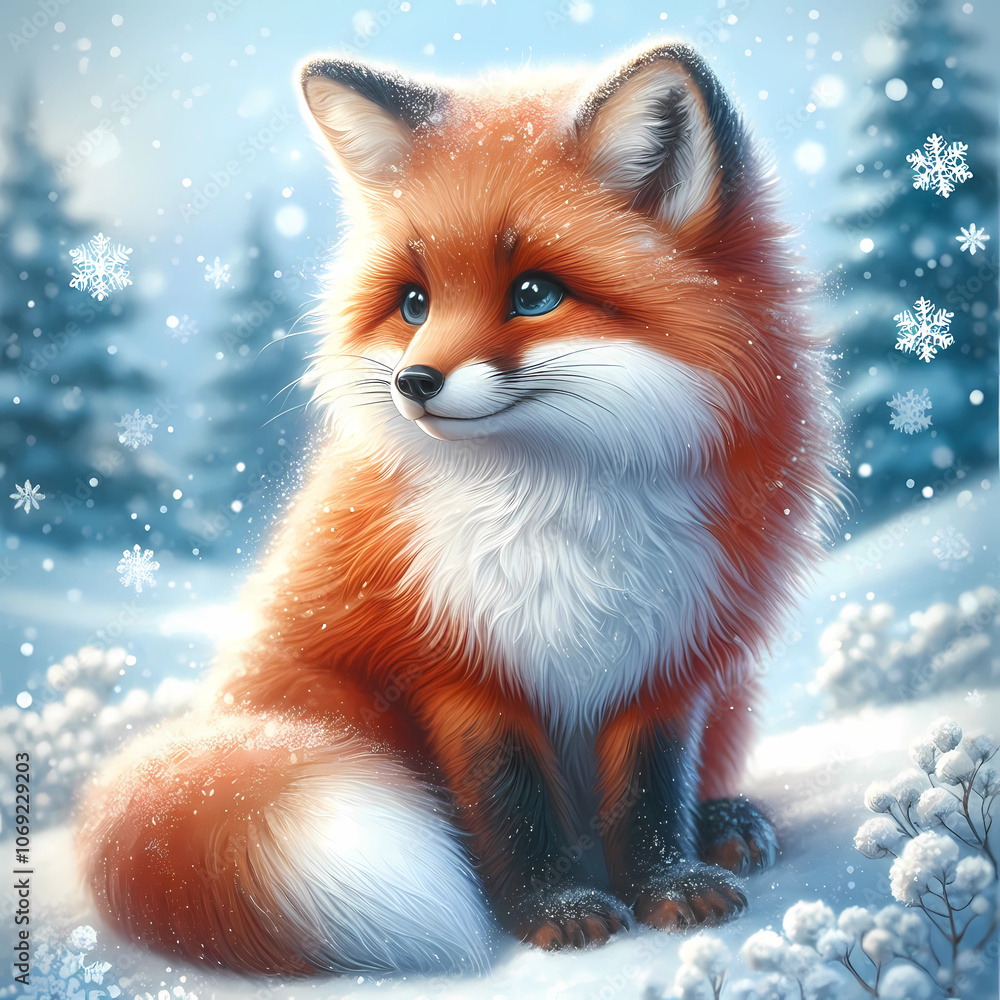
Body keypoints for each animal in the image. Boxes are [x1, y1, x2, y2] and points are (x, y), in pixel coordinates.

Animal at [78, 40, 842, 977]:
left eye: (535, 294)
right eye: (414, 303)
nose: (413, 383)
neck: (557, 515)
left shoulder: (671, 651)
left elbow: (650, 794)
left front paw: (670, 886)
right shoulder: (456, 661)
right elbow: (511, 803)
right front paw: (555, 911)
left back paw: (726, 823)